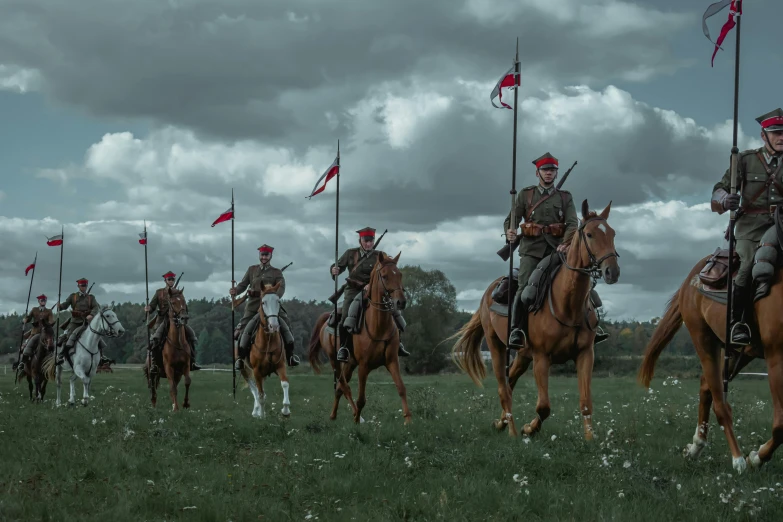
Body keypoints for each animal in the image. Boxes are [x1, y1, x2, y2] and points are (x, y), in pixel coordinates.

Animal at [237, 282, 292, 416]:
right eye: (263, 302)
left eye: (278, 301)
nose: (274, 326)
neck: (268, 340)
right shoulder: (256, 371)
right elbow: (260, 394)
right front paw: (262, 416)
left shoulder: (280, 366)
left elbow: (285, 384)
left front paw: (286, 410)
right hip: (245, 370)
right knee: (254, 389)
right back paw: (256, 411)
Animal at [310, 251, 414, 422]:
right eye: (384, 276)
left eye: (399, 274)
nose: (401, 302)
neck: (378, 326)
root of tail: (326, 320)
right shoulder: (363, 366)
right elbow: (361, 399)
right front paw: (357, 422)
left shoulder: (392, 361)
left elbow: (401, 388)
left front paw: (408, 420)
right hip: (334, 360)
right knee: (344, 386)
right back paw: (353, 415)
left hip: (350, 363)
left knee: (340, 388)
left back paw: (333, 415)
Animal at [454, 201, 620, 436]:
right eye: (589, 234)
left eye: (612, 233)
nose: (612, 272)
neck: (567, 303)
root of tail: (489, 291)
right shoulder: (542, 358)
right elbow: (543, 407)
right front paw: (529, 429)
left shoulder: (585, 354)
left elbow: (586, 402)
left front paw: (590, 438)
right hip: (497, 347)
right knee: (503, 388)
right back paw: (513, 431)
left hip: (523, 356)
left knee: (510, 384)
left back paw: (501, 423)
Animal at [640, 250, 783, 470]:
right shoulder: (776, 358)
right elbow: (780, 424)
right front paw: (756, 457)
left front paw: (756, 456)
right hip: (704, 341)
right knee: (720, 404)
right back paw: (737, 459)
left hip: (740, 352)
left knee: (705, 385)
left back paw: (696, 446)